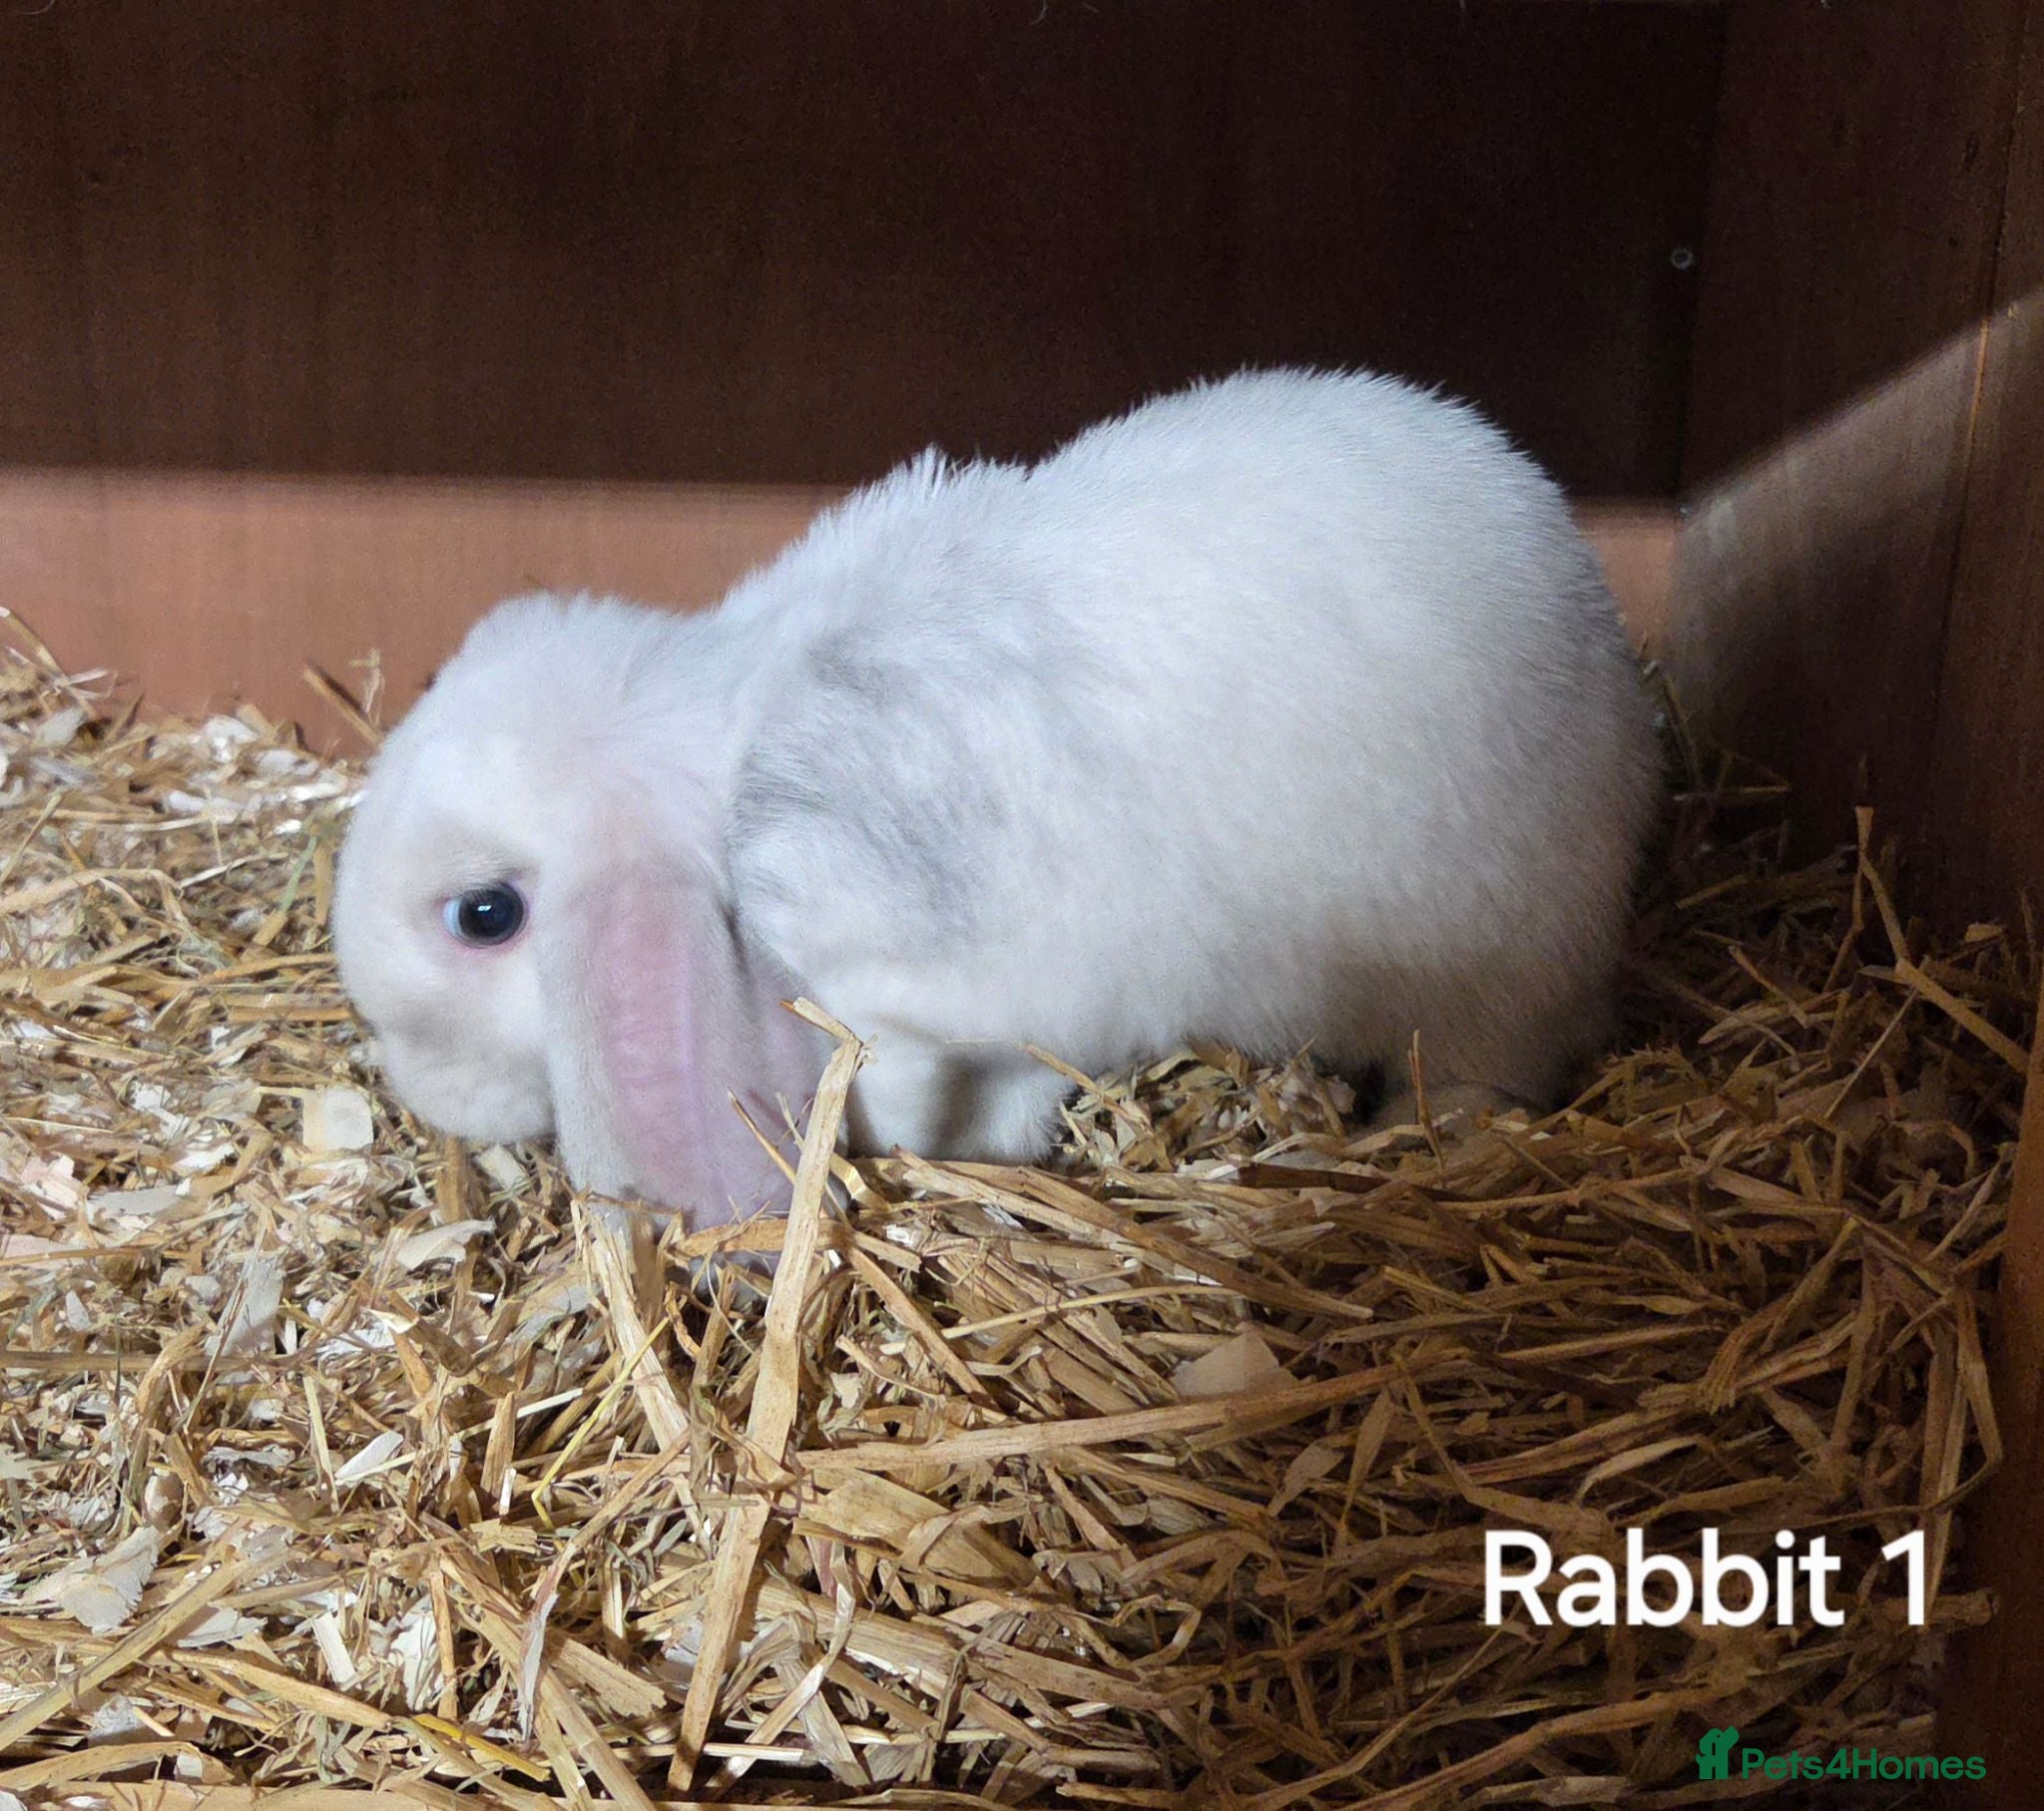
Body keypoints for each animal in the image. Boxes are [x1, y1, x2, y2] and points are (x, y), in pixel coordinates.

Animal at [331, 367, 1661, 1228]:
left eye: (486, 916)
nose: (430, 1100)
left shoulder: (934, 1001)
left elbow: (919, 1091)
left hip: (1490, 981)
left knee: (1490, 1067)